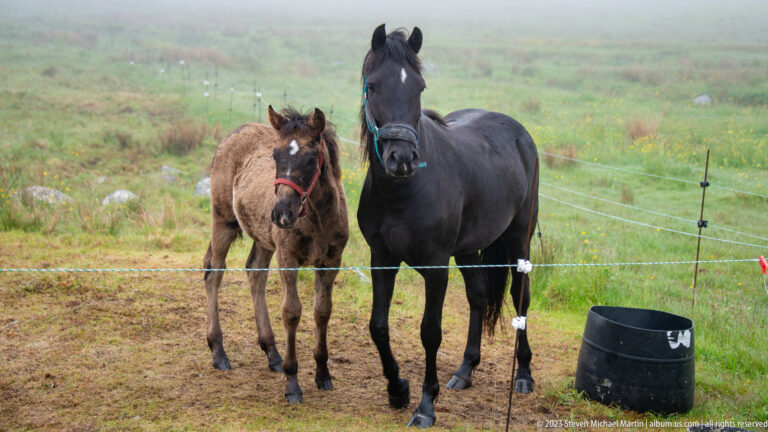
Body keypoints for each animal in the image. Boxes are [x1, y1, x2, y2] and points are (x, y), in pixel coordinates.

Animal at [203, 106, 349, 403]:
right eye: (275, 155)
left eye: (311, 157)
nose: (282, 213)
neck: (317, 219)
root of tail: (233, 134)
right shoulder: (288, 258)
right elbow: (291, 312)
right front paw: (292, 383)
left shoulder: (330, 262)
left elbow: (322, 312)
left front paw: (322, 373)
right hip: (223, 220)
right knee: (214, 272)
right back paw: (219, 352)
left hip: (263, 238)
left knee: (255, 272)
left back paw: (272, 352)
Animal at [356, 24, 539, 427]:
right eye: (373, 85)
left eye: (420, 87)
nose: (402, 159)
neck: (403, 194)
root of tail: (519, 133)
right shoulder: (382, 260)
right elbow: (378, 326)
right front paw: (397, 389)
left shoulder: (436, 268)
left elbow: (430, 333)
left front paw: (425, 405)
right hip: (469, 250)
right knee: (478, 296)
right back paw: (465, 371)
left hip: (518, 240)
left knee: (520, 298)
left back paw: (524, 375)